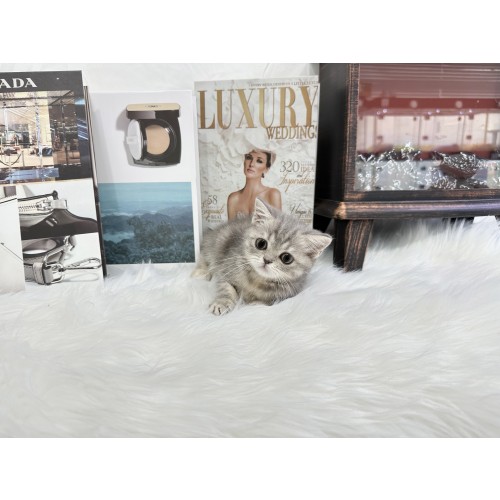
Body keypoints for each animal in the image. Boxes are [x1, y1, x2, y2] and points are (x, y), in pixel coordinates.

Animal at [192, 198, 332, 315]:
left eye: (286, 258)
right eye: (261, 244)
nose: (267, 260)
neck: (257, 279)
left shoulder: (287, 294)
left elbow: (266, 302)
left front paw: (254, 305)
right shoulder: (226, 267)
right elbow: (226, 287)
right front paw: (222, 302)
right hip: (218, 240)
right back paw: (201, 272)